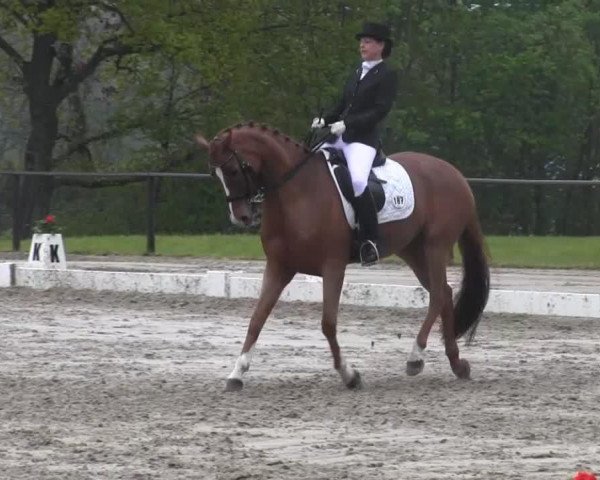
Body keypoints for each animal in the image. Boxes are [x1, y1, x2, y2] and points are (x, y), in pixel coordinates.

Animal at [197, 122, 488, 392]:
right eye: (214, 174)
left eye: (234, 171)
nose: (241, 217)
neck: (297, 192)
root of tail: (455, 174)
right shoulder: (279, 267)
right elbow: (256, 319)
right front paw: (237, 373)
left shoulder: (333, 266)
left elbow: (328, 323)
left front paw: (349, 375)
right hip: (413, 250)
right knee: (445, 293)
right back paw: (457, 364)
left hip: (435, 246)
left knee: (438, 295)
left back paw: (416, 357)